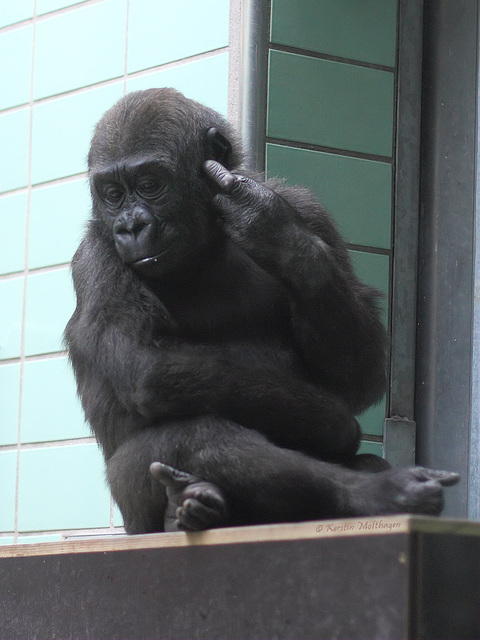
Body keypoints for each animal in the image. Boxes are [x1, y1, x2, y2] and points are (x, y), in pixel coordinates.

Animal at [63, 87, 458, 532]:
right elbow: (146, 365)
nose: (130, 227)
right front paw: (333, 423)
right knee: (196, 439)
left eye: (149, 185)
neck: (203, 239)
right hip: (133, 513)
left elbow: (357, 372)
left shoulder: (309, 210)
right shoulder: (95, 258)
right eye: (113, 194)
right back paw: (377, 492)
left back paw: (200, 506)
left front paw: (275, 230)